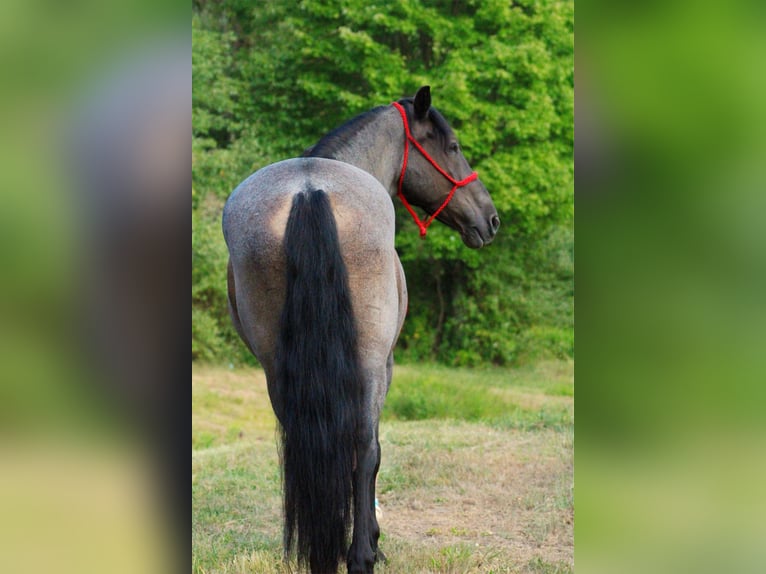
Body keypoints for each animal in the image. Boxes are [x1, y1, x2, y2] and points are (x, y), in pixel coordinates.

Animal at [222, 86, 500, 574]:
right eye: (453, 147)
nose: (490, 219)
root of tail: (308, 190)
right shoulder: (383, 365)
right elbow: (367, 454)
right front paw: (371, 541)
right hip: (370, 362)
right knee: (367, 449)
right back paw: (360, 556)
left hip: (277, 369)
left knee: (300, 449)